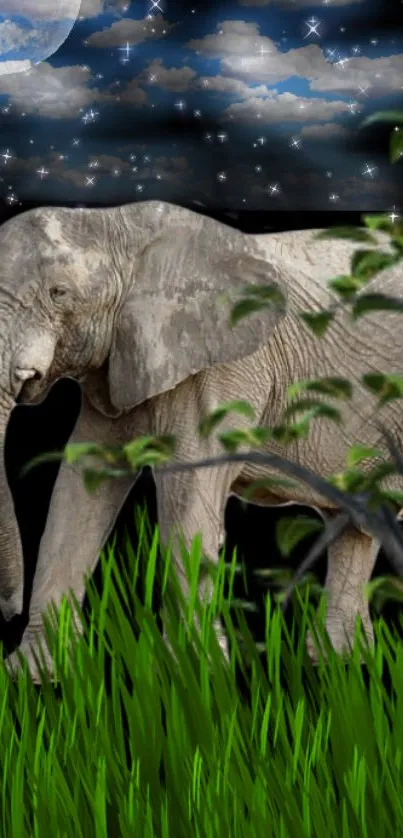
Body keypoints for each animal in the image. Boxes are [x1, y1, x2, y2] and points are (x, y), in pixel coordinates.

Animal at [0, 199, 400, 684]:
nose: (7, 612)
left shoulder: (227, 366)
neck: (118, 225)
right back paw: (340, 666)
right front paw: (37, 677)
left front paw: (193, 674)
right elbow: (78, 489)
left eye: (59, 293)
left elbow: (186, 493)